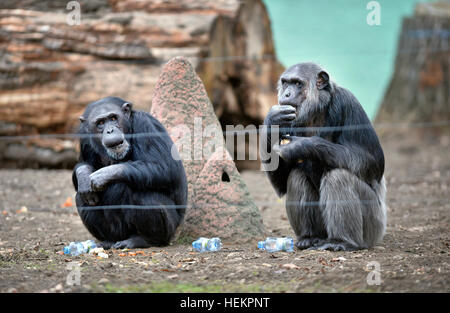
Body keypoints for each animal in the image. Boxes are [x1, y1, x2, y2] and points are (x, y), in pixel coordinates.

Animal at [72, 96, 188, 247]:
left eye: (113, 118)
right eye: (101, 123)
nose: (110, 130)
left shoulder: (146, 124)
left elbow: (166, 168)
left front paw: (104, 175)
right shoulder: (85, 138)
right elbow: (82, 163)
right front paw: (84, 177)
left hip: (170, 229)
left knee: (143, 196)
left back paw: (142, 240)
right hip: (118, 232)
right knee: (81, 197)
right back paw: (108, 241)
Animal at [260, 62, 386, 251]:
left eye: (297, 83)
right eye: (285, 82)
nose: (286, 93)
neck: (316, 110)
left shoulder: (350, 104)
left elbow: (372, 161)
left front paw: (302, 145)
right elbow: (281, 183)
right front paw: (272, 119)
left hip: (373, 227)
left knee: (338, 177)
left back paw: (341, 241)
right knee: (296, 176)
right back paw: (309, 238)